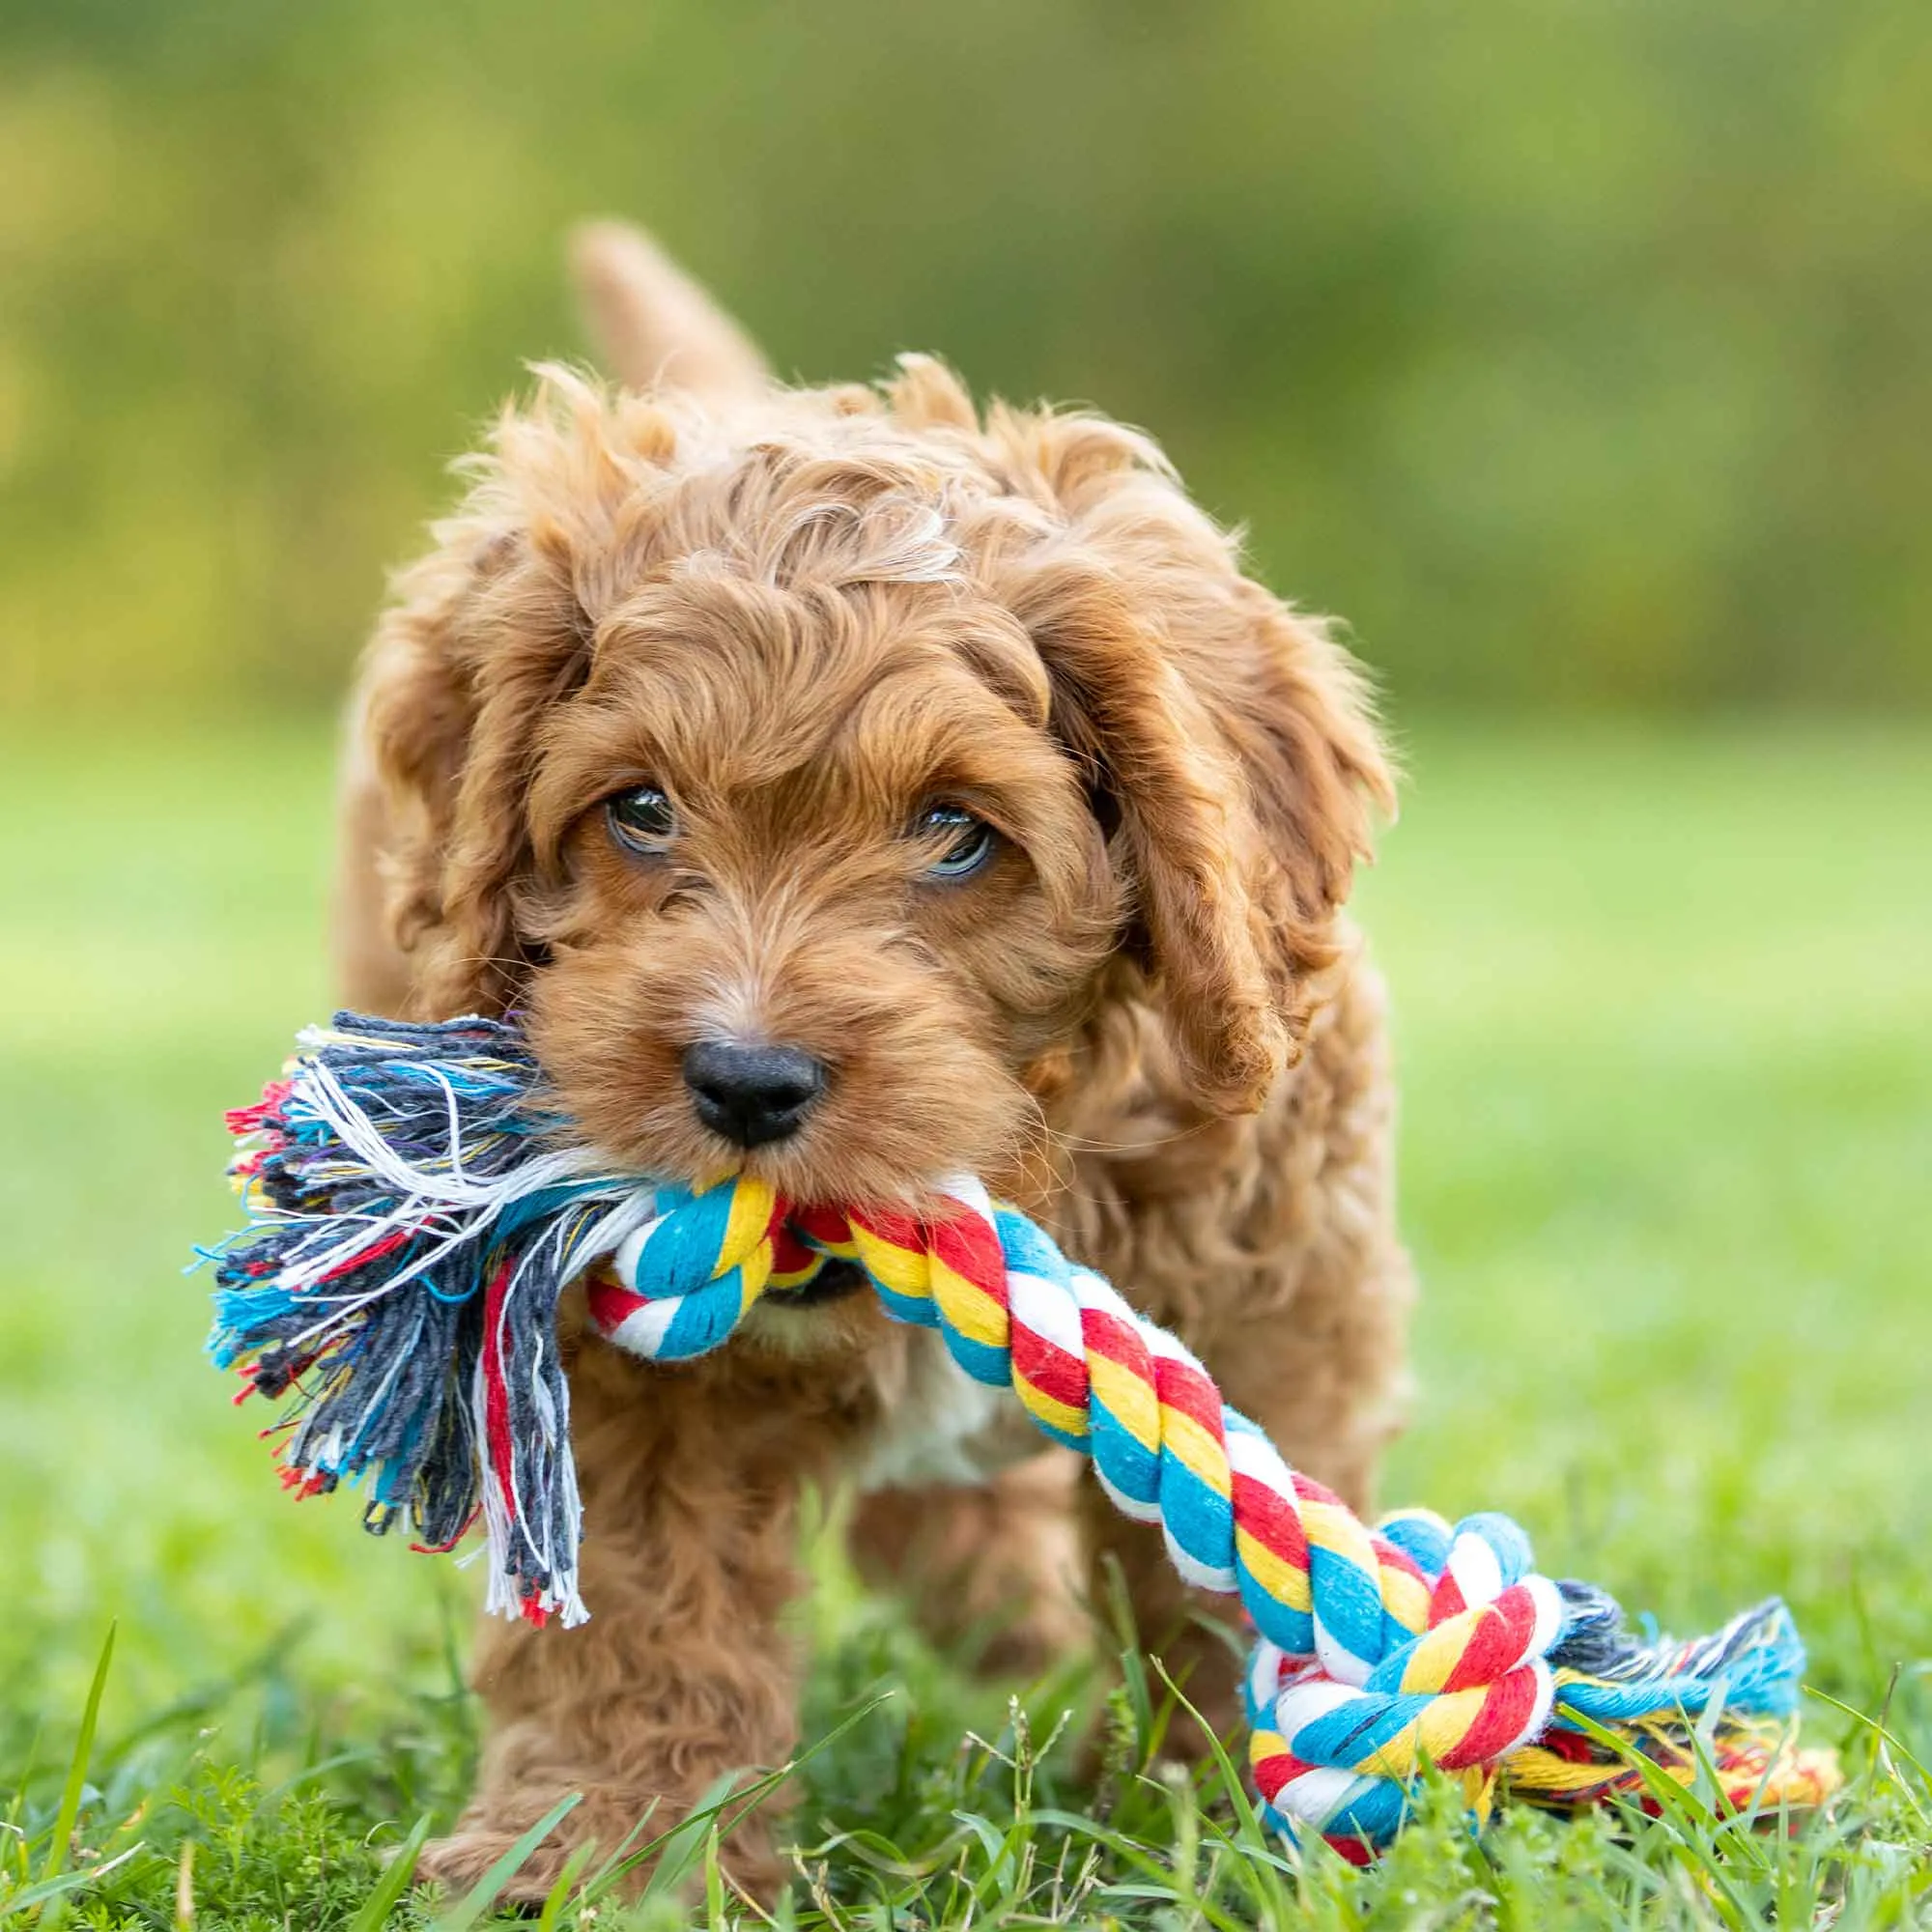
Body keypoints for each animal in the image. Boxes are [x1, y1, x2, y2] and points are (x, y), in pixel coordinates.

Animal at [340, 226, 1414, 1901]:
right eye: (639, 810)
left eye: (956, 832)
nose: (745, 1082)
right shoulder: (610, 1357)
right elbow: (642, 1609)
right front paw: (610, 1854)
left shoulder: (1277, 1292)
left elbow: (1233, 1560)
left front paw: (1235, 1822)